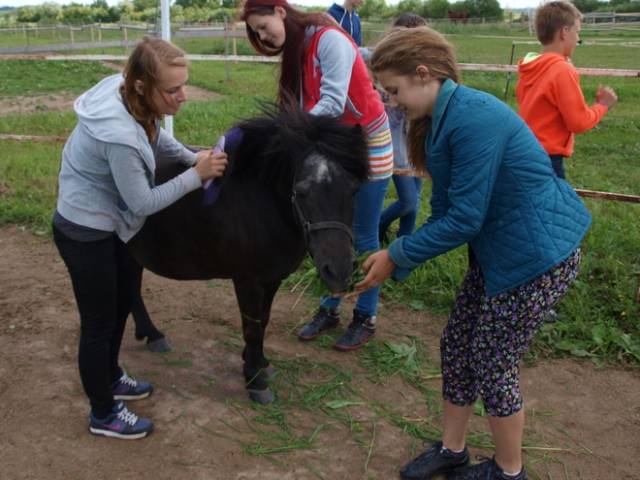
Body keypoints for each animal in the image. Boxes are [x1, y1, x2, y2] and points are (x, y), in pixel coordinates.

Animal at [127, 107, 368, 404]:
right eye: (301, 191)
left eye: (354, 189)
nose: (339, 270)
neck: (261, 205)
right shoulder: (248, 281)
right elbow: (252, 328)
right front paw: (255, 380)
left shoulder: (272, 279)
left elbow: (263, 322)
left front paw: (259, 363)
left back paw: (151, 335)